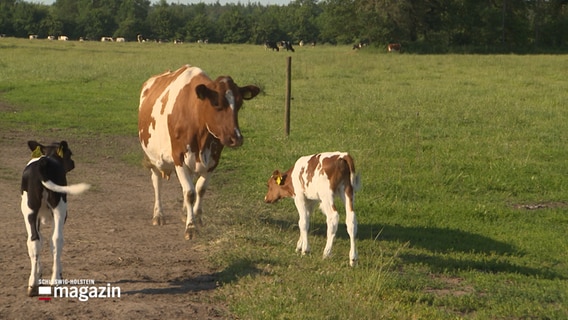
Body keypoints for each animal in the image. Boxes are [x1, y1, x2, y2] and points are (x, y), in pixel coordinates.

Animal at [20, 141, 89, 296]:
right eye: (69, 153)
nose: (73, 163)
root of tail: (43, 163)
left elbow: (39, 239)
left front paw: (38, 274)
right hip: (60, 207)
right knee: (57, 239)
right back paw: (55, 282)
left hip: (28, 209)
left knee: (33, 240)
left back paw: (32, 285)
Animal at [138, 65, 262, 240]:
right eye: (216, 103)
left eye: (239, 104)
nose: (236, 138)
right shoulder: (178, 157)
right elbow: (190, 192)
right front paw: (191, 227)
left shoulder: (214, 159)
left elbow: (200, 189)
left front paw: (197, 217)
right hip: (153, 157)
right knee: (157, 182)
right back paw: (158, 214)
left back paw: (184, 212)